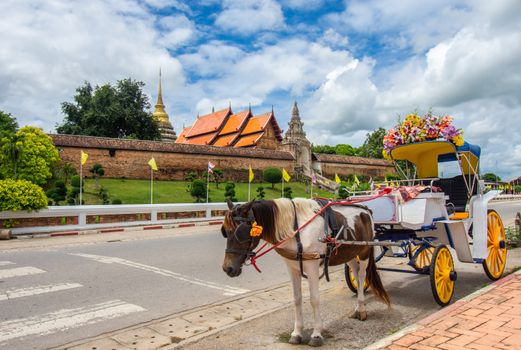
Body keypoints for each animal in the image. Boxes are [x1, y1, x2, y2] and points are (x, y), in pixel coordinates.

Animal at [219, 198, 390, 346]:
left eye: (240, 232)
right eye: (225, 231)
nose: (227, 268)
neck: (297, 230)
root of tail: (366, 210)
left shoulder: (312, 267)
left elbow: (314, 300)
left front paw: (316, 334)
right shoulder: (292, 268)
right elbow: (297, 299)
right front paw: (297, 333)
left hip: (364, 250)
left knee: (361, 276)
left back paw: (361, 309)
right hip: (349, 253)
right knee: (354, 270)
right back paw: (357, 308)